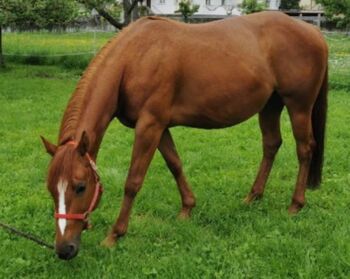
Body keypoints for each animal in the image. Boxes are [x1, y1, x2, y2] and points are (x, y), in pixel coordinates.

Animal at [41, 10, 328, 260]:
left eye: (80, 187)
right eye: (51, 189)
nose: (64, 249)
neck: (134, 58)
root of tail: (313, 31)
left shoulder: (150, 125)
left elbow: (133, 181)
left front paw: (115, 235)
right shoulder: (159, 127)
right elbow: (175, 164)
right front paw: (187, 208)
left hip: (298, 106)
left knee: (305, 149)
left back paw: (295, 205)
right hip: (270, 105)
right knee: (271, 145)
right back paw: (253, 197)